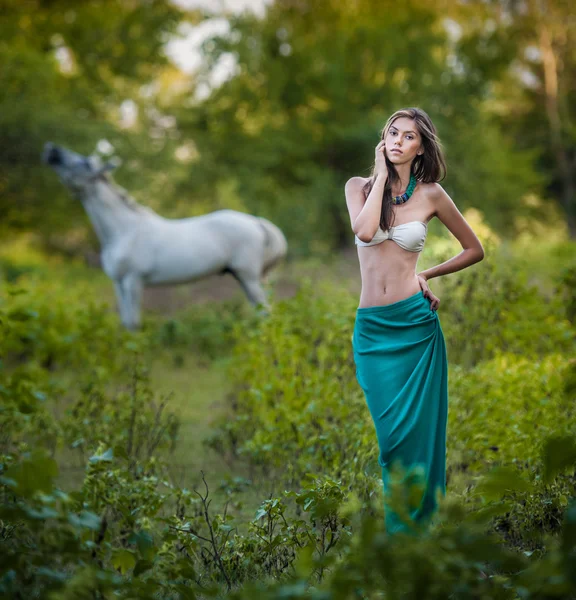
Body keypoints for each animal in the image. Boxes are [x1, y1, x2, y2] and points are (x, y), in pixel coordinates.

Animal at [41, 143, 288, 330]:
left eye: (83, 163)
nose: (51, 149)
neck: (124, 231)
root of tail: (256, 222)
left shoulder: (133, 281)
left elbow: (134, 324)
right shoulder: (118, 283)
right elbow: (125, 322)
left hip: (249, 278)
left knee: (266, 314)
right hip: (247, 278)